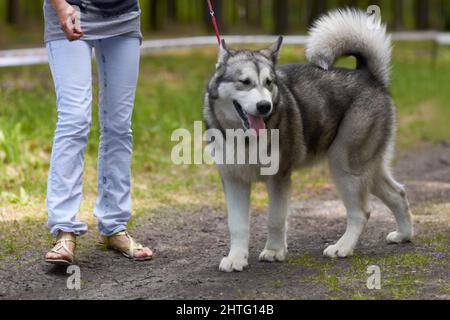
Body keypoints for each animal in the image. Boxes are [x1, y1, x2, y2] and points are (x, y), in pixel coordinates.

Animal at [204, 8, 414, 272]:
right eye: (244, 82)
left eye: (269, 83)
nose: (264, 106)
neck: (244, 138)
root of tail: (368, 75)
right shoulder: (234, 180)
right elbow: (237, 225)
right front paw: (236, 258)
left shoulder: (279, 177)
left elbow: (275, 218)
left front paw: (274, 251)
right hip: (367, 168)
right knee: (398, 193)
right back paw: (404, 234)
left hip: (345, 167)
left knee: (362, 211)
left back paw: (343, 247)